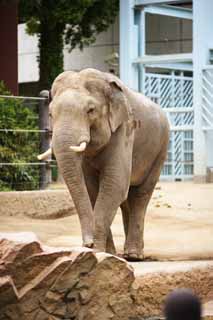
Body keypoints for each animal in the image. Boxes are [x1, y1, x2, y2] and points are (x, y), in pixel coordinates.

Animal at [37, 67, 169, 260]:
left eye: (90, 110)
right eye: (50, 114)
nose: (87, 244)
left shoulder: (124, 129)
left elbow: (114, 185)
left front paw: (98, 251)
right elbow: (93, 189)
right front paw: (106, 253)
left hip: (160, 150)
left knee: (140, 195)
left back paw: (133, 255)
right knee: (127, 199)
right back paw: (127, 254)